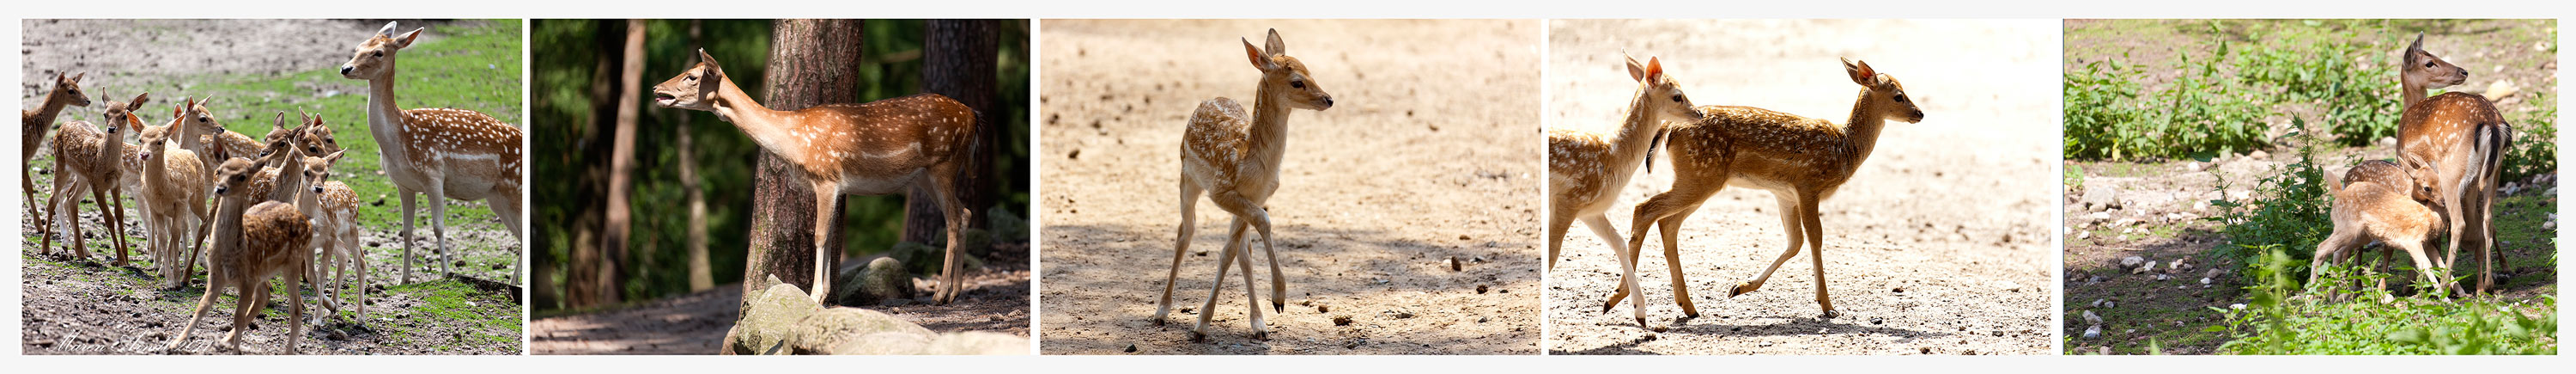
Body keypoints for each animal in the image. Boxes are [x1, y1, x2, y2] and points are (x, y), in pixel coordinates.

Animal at [654, 47, 984, 304]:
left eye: (692, 76)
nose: (657, 89)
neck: (794, 142)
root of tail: (973, 116)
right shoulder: (833, 186)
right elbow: (831, 234)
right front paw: (824, 295)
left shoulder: (827, 177)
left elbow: (820, 234)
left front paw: (814, 295)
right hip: (923, 176)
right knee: (965, 212)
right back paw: (956, 291)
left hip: (944, 162)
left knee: (953, 218)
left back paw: (940, 293)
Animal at [1546, 54, 1710, 326]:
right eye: (1677, 95)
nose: (1699, 113)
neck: (1611, 155)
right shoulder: (1569, 200)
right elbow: (1552, 253)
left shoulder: (1589, 210)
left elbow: (1619, 242)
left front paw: (1639, 313)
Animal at [1607, 58, 1917, 321]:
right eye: (1898, 95)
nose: (1920, 113)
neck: (1843, 149)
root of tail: (1670, 127)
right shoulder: (1808, 184)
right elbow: (1815, 238)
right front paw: (1828, 306)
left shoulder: (1784, 194)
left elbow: (1795, 242)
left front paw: (1739, 287)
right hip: (1699, 177)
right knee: (1645, 208)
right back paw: (1617, 297)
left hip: (1698, 180)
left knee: (1667, 223)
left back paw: (1687, 306)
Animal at [2391, 34, 2514, 295]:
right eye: (2430, 62)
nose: (2463, 71)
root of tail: (2491, 122)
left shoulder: (2411, 172)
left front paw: (2410, 285)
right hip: (2495, 171)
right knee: (2489, 218)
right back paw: (2489, 281)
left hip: (2451, 173)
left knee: (2459, 223)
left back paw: (2446, 285)